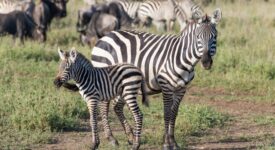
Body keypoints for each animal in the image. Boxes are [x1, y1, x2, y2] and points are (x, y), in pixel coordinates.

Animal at [90, 8, 222, 150]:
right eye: (198, 37)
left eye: (214, 37)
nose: (206, 62)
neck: (182, 57)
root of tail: (105, 36)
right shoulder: (166, 86)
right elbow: (167, 113)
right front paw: (166, 143)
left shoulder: (181, 89)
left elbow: (174, 113)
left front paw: (173, 142)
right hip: (105, 79)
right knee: (104, 107)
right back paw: (111, 138)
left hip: (122, 83)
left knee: (117, 107)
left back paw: (130, 137)